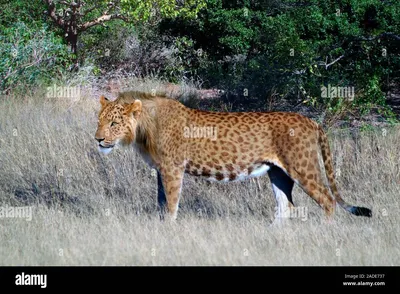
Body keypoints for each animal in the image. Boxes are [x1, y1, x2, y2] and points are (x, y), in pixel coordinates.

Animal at [94, 90, 372, 222]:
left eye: (114, 123)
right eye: (99, 121)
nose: (97, 139)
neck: (144, 128)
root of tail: (311, 121)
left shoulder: (173, 169)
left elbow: (171, 205)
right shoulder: (161, 170)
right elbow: (162, 204)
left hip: (303, 167)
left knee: (328, 201)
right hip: (278, 172)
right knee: (286, 207)